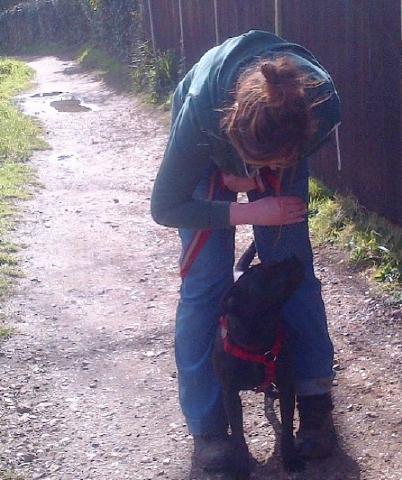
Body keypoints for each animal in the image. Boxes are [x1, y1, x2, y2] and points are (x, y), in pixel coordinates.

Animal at [214, 253, 304, 478]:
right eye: (266, 270)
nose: (294, 256)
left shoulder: (287, 387)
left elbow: (287, 427)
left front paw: (290, 458)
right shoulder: (230, 394)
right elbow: (238, 434)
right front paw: (240, 466)